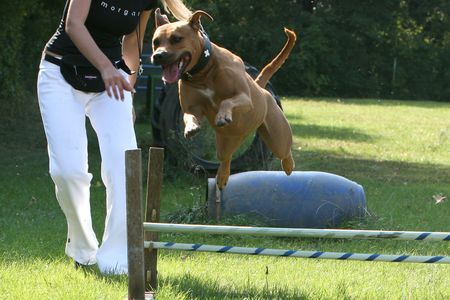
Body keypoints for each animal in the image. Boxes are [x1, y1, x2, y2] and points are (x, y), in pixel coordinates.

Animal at [151, 8, 298, 190]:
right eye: (155, 42)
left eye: (176, 39)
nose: (158, 55)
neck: (203, 72)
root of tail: (261, 88)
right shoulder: (191, 107)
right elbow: (189, 116)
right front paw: (191, 127)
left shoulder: (244, 98)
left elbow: (226, 101)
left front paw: (222, 115)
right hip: (224, 142)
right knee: (225, 158)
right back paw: (222, 176)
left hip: (277, 136)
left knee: (285, 152)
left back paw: (289, 166)